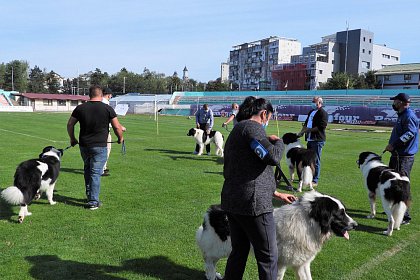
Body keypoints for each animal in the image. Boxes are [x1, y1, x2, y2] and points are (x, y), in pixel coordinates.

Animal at [197, 191, 358, 280]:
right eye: (340, 214)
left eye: (344, 211)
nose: (355, 225)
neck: (308, 222)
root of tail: (212, 211)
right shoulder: (280, 263)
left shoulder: (302, 263)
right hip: (221, 246)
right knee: (208, 259)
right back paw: (211, 275)